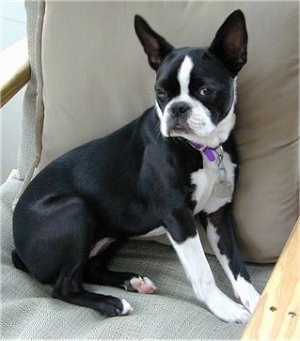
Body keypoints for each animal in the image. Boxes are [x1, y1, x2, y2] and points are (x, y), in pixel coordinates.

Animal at [12, 10, 260, 322]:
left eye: (206, 90)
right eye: (160, 93)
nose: (178, 108)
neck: (202, 148)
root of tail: (16, 247)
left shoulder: (217, 214)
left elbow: (237, 265)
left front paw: (257, 301)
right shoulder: (178, 217)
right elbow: (202, 271)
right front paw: (224, 307)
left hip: (116, 227)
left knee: (89, 269)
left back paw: (132, 281)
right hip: (76, 210)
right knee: (64, 286)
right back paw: (111, 303)